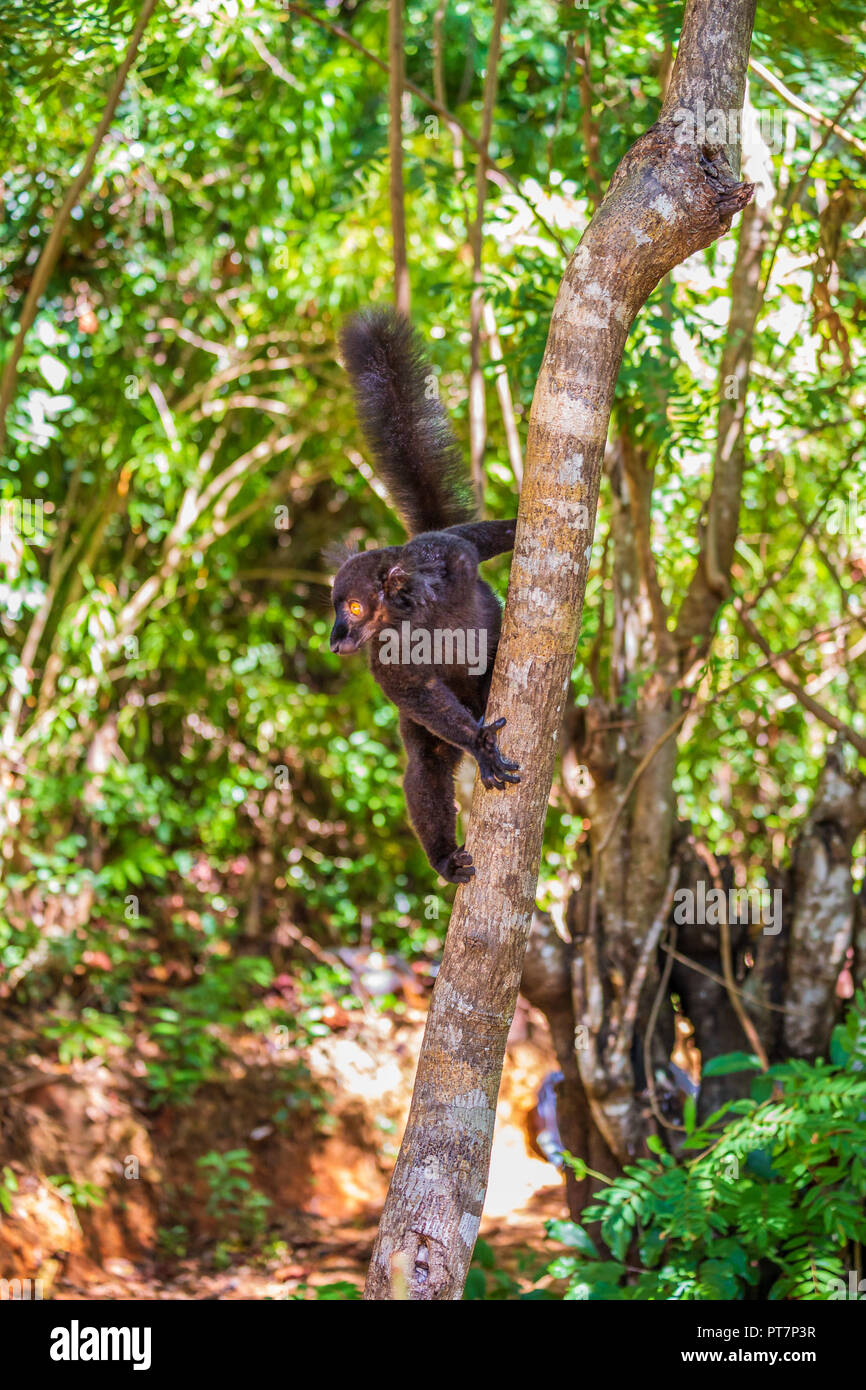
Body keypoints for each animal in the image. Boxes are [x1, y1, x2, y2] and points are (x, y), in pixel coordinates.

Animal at [329, 308, 519, 884]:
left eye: (352, 607)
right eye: (338, 611)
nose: (336, 639)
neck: (416, 615)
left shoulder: (447, 555)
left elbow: (477, 538)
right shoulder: (383, 658)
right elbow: (414, 693)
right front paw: (479, 745)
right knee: (427, 761)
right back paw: (444, 856)